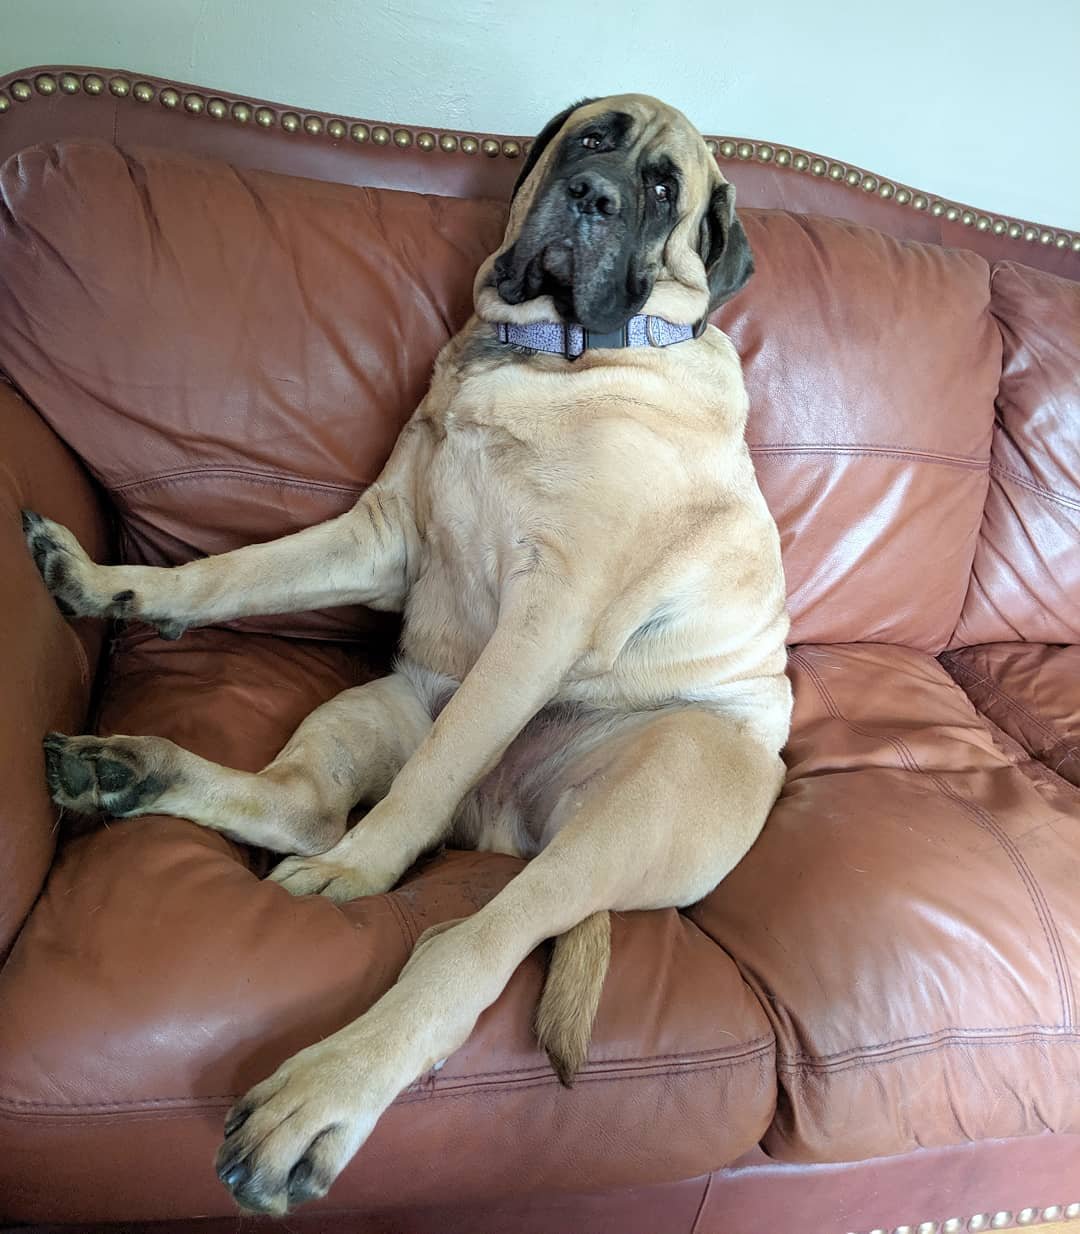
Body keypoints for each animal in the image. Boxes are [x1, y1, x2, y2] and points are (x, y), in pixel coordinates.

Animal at [21, 96, 789, 1214]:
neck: (539, 358)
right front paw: (117, 583)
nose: (592, 199)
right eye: (593, 139)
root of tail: (513, 821)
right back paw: (125, 770)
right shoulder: (381, 537)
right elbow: (235, 570)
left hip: (662, 781)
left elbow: (428, 781)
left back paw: (320, 1092)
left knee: (467, 938)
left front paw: (363, 871)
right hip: (378, 704)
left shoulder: (546, 615)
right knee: (301, 805)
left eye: (662, 188)